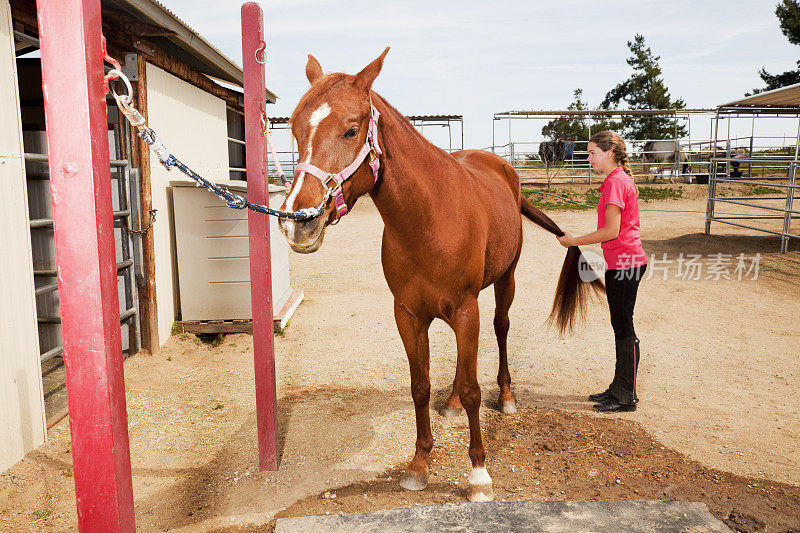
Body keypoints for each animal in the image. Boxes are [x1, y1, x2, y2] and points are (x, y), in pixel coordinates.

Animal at [278, 47, 604, 500]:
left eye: (351, 130)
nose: (299, 221)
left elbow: (473, 390)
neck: (428, 221)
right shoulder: (409, 315)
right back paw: (450, 404)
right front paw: (419, 464)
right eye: (293, 130)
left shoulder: (467, 309)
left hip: (505, 281)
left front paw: (479, 474)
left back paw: (506, 395)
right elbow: (420, 386)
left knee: (501, 329)